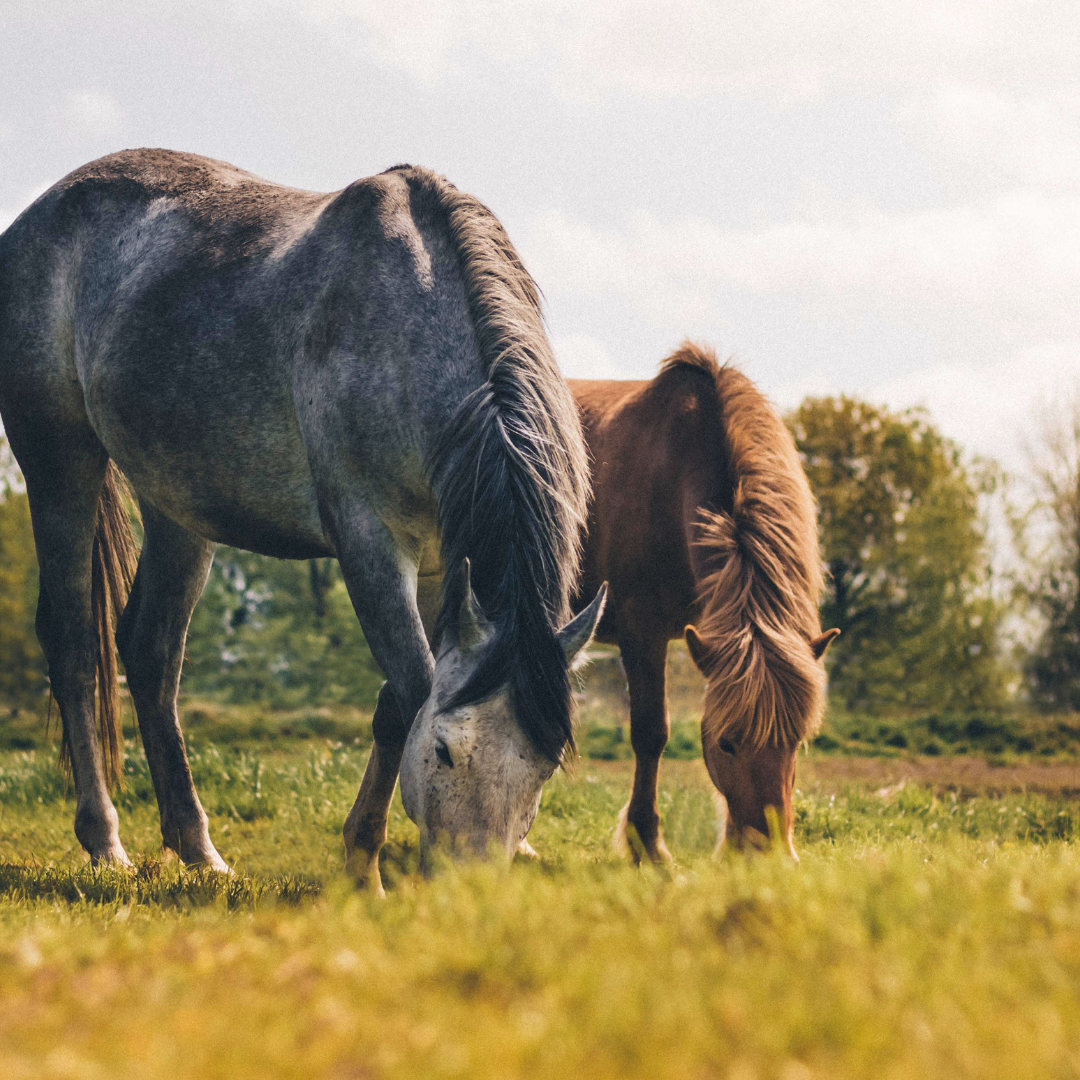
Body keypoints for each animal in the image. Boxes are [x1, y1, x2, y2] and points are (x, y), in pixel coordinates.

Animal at [0, 149, 606, 888]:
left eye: (544, 767)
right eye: (443, 751)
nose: (471, 889)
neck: (409, 325)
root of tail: (36, 217)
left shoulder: (442, 564)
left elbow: (393, 702)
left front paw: (360, 854)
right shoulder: (370, 542)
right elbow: (412, 689)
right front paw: (366, 868)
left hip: (178, 505)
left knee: (150, 652)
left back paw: (197, 848)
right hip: (61, 462)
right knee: (73, 645)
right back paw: (105, 839)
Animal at [570, 343, 838, 861]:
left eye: (796, 743)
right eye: (727, 743)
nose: (767, 855)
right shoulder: (642, 632)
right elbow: (651, 733)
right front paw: (649, 846)